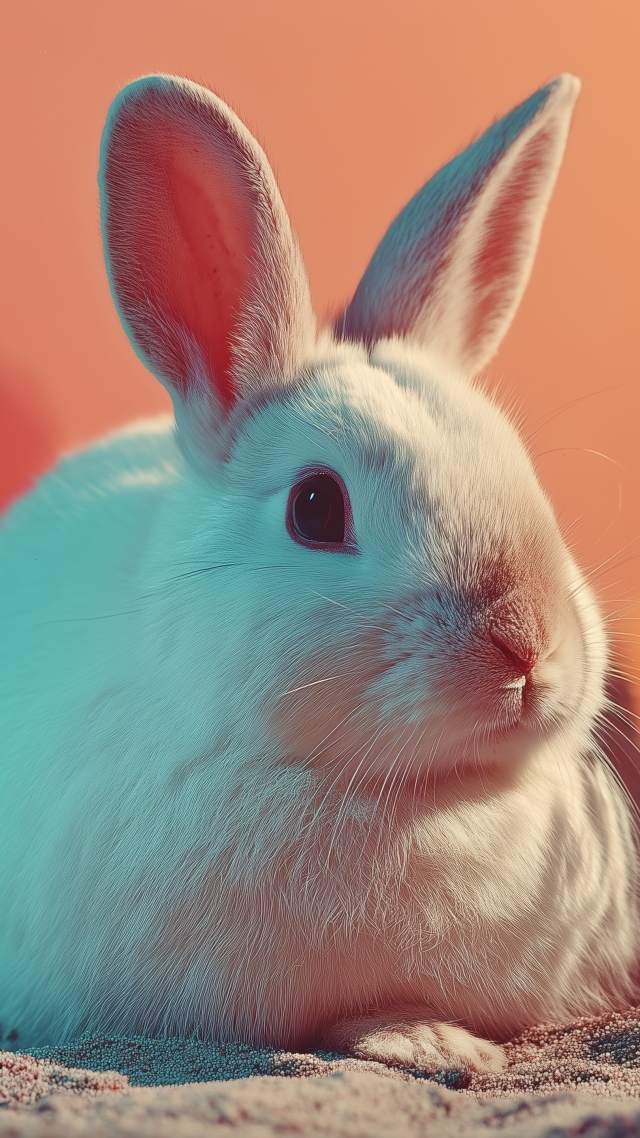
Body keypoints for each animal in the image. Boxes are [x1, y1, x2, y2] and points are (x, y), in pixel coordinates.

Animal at [1, 71, 638, 1073]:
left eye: (524, 473)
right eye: (315, 509)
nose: (529, 648)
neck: (411, 795)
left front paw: (437, 1036)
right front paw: (431, 1040)